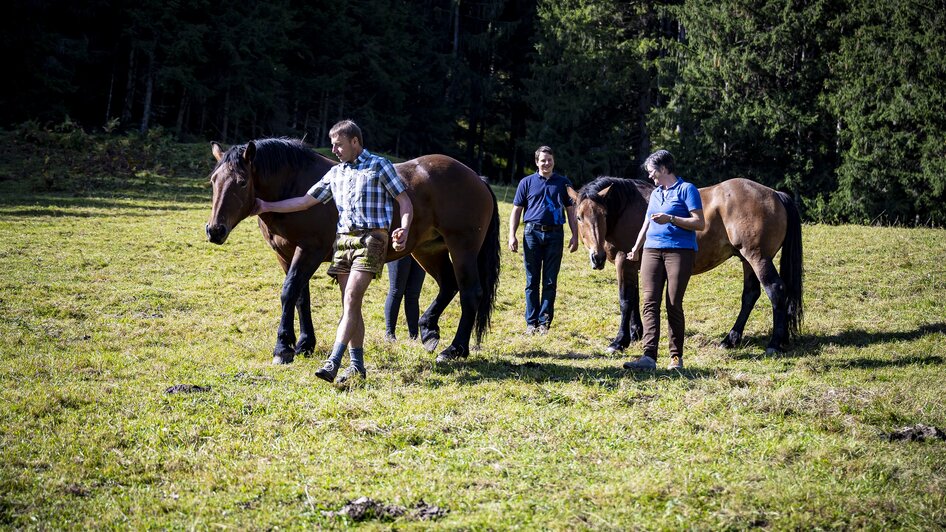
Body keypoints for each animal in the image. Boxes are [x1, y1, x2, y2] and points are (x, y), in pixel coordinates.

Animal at [205, 135, 502, 364]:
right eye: (213, 180)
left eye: (242, 182)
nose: (214, 229)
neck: (295, 186)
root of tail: (477, 178)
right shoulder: (285, 255)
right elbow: (301, 297)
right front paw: (304, 344)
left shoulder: (309, 251)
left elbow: (289, 292)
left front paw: (283, 347)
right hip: (428, 250)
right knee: (449, 285)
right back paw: (428, 330)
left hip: (462, 248)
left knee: (470, 293)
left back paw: (455, 349)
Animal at [568, 177, 804, 356]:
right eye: (579, 217)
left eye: (604, 215)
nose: (597, 257)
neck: (627, 207)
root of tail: (775, 194)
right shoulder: (634, 265)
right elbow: (634, 300)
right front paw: (635, 334)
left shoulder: (623, 262)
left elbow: (625, 301)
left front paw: (619, 341)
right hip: (747, 260)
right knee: (750, 295)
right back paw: (731, 339)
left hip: (758, 258)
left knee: (775, 290)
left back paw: (774, 343)